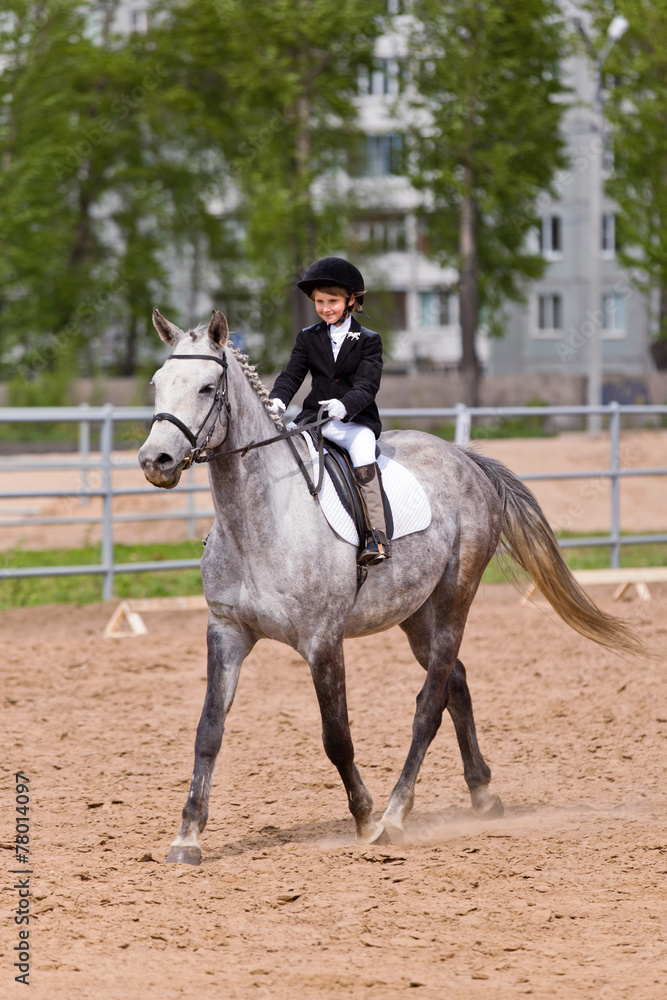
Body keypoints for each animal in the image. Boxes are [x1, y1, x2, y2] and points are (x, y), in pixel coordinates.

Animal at [138, 308, 643, 864]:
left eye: (208, 387)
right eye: (158, 383)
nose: (155, 461)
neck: (259, 518)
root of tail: (464, 458)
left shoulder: (322, 641)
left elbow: (336, 736)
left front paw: (363, 816)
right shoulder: (226, 632)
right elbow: (209, 729)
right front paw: (187, 836)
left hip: (454, 599)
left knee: (429, 704)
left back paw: (395, 817)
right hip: (416, 614)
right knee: (455, 681)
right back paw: (482, 794)